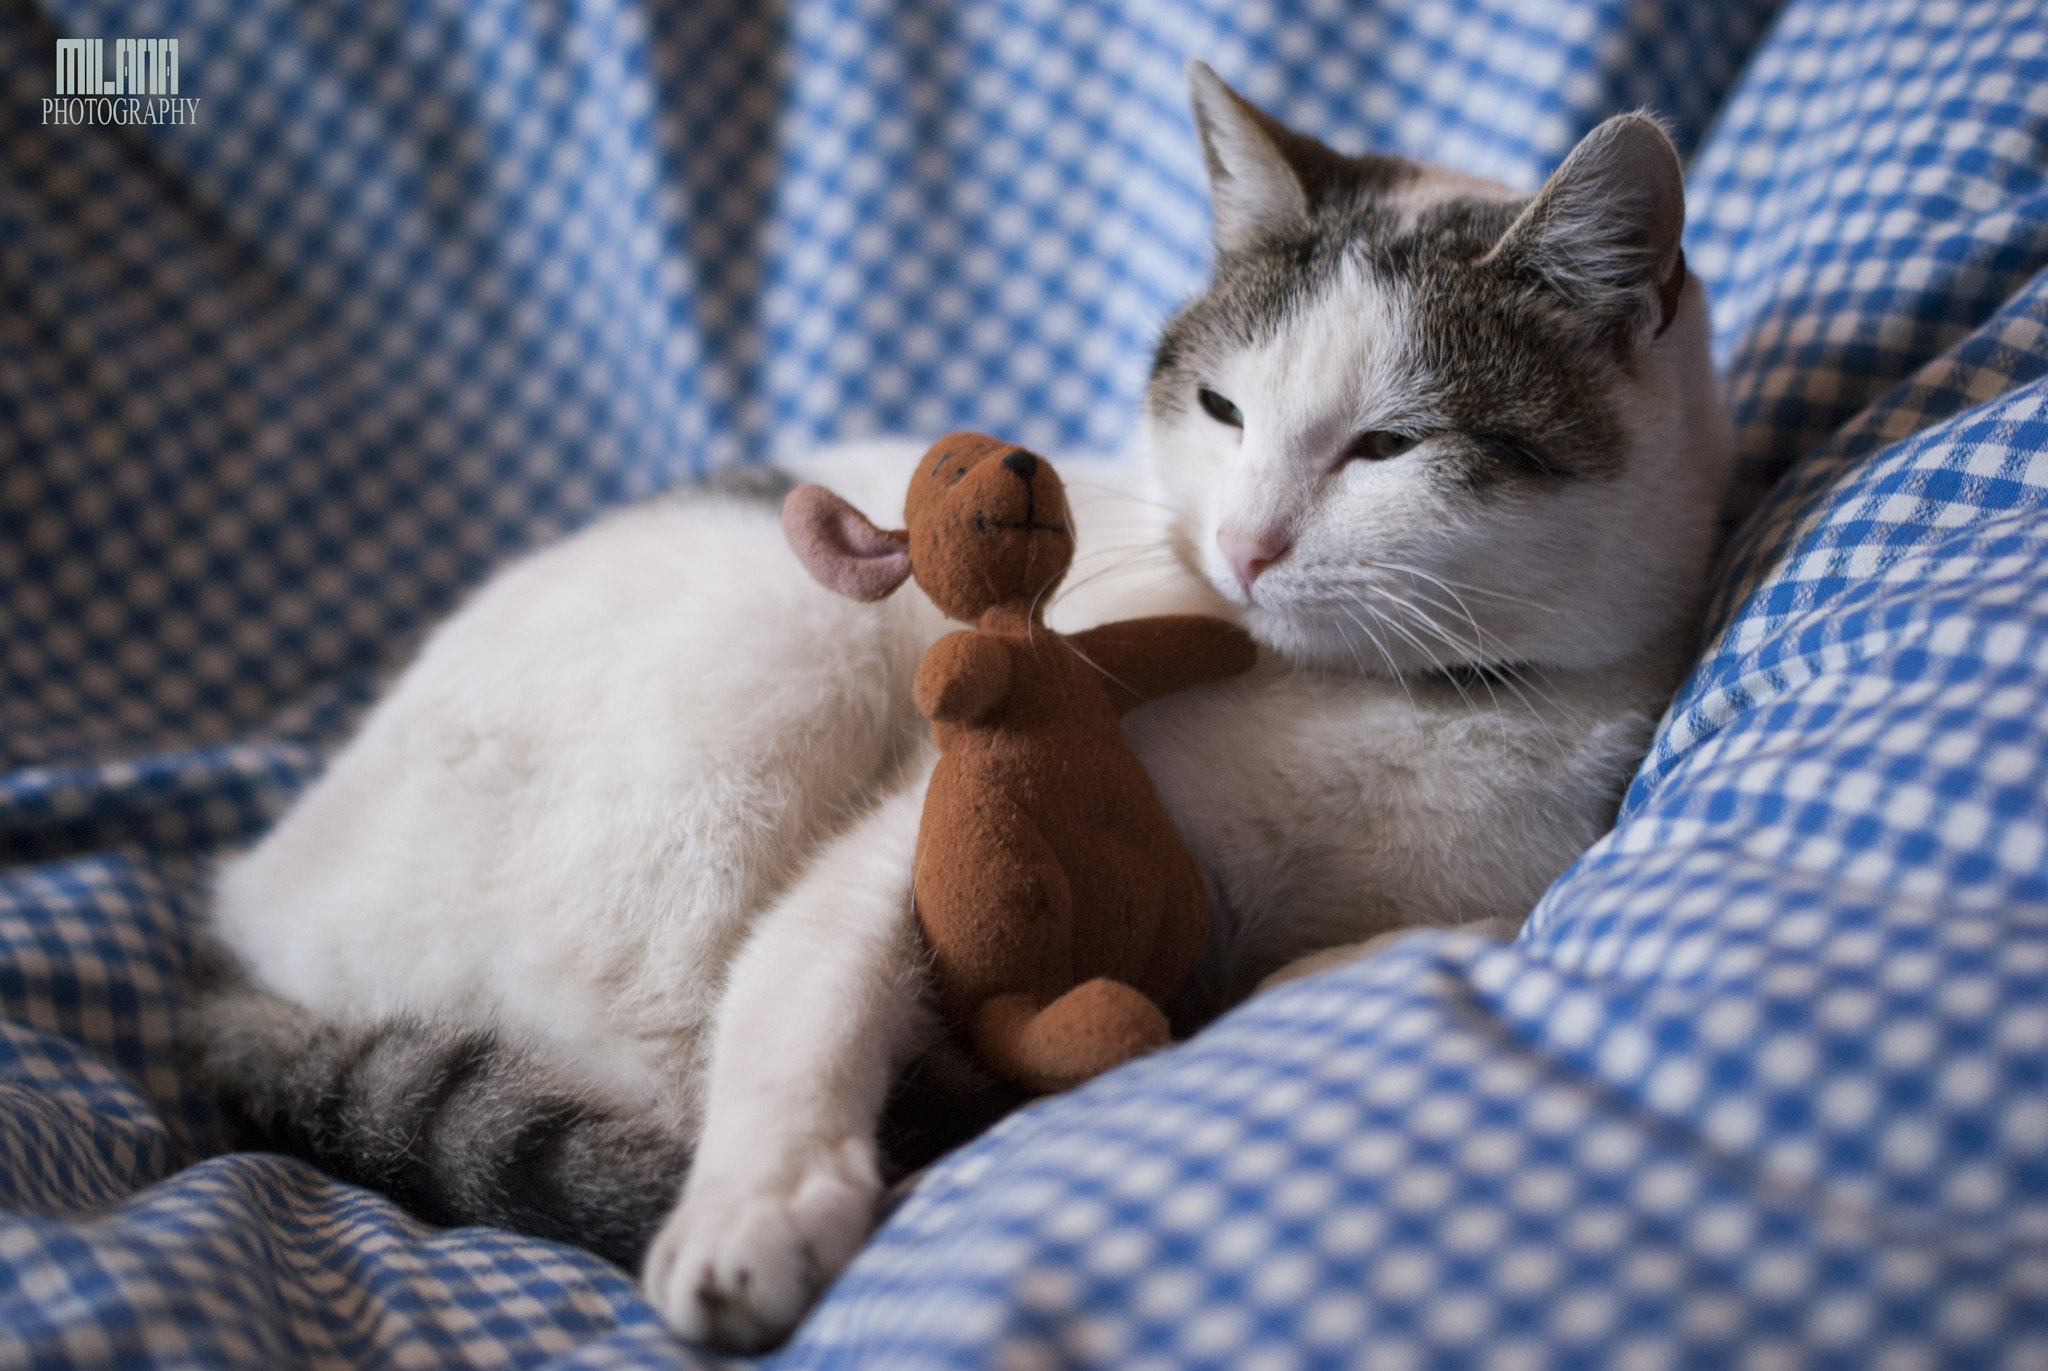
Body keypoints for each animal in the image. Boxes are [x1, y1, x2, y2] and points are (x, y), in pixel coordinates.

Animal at [188, 64, 1728, 1344]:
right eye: (1223, 410)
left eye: (1389, 446)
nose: (1241, 544)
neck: (1368, 701)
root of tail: (247, 911)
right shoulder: (935, 813)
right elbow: (802, 985)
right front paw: (757, 1210)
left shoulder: (1505, 882)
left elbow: (1399, 945)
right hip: (770, 672)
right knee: (671, 1044)